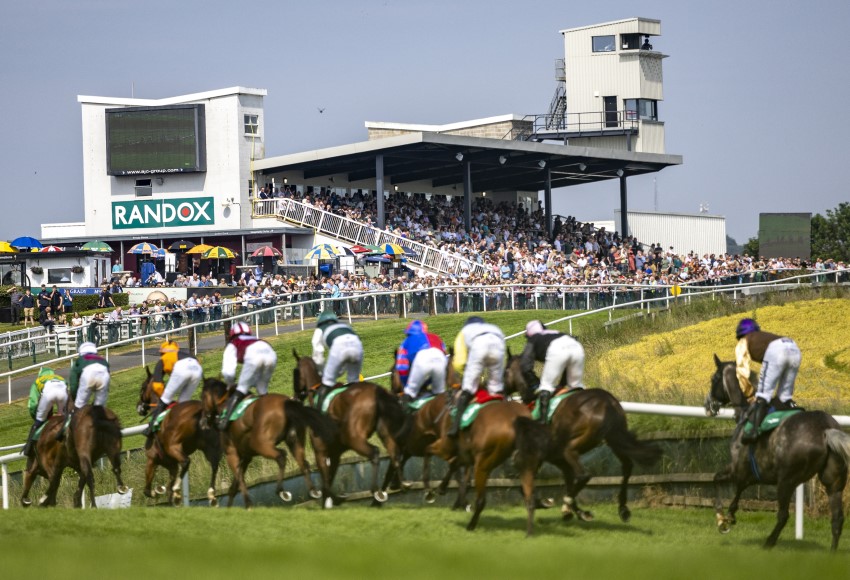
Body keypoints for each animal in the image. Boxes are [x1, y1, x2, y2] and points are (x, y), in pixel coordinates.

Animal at [136, 370, 224, 506]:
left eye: (142, 388)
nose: (139, 407)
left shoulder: (152, 459)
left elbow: (147, 491)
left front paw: (157, 491)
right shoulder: (172, 466)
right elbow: (168, 493)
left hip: (173, 446)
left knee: (186, 461)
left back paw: (177, 490)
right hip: (210, 448)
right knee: (215, 465)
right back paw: (211, 494)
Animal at [200, 376, 334, 508]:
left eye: (202, 396)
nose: (202, 422)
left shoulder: (231, 454)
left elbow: (240, 480)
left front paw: (248, 505)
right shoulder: (246, 457)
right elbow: (234, 487)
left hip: (260, 444)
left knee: (281, 456)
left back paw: (282, 491)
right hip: (295, 441)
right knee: (303, 463)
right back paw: (313, 491)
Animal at [292, 348, 408, 508]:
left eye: (294, 373)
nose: (295, 397)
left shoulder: (320, 452)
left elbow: (325, 481)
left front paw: (330, 499)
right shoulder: (335, 453)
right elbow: (329, 478)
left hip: (354, 439)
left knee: (375, 453)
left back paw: (377, 492)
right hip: (385, 433)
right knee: (394, 455)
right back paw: (396, 486)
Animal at [500, 352, 660, 524]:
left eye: (505, 370)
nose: (501, 391)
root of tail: (607, 403)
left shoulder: (539, 456)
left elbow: (524, 486)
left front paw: (549, 504)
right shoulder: (558, 459)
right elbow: (568, 480)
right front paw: (576, 512)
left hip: (572, 448)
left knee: (584, 475)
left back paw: (567, 504)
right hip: (614, 440)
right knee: (627, 466)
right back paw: (623, 508)